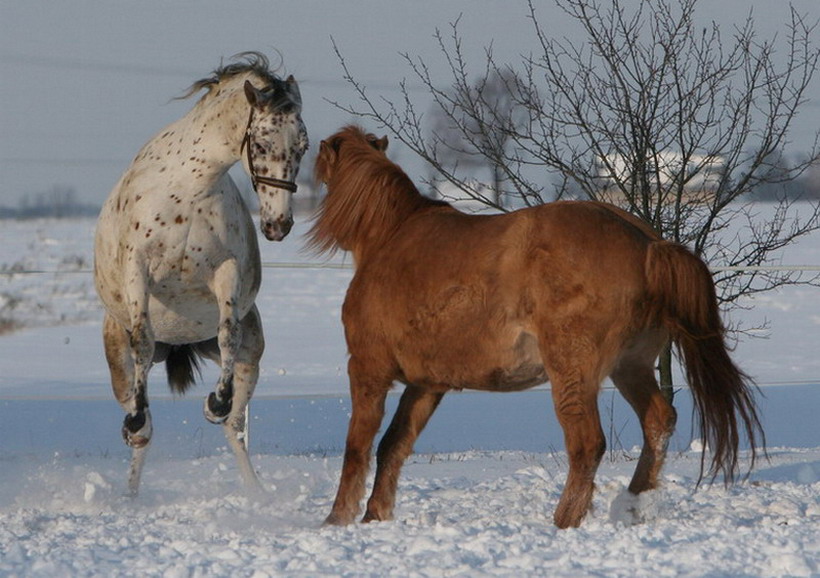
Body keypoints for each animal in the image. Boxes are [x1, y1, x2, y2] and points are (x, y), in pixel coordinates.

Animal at [93, 54, 310, 492]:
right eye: (261, 143)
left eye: (304, 145)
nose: (278, 225)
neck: (186, 190)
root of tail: (178, 344)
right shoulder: (138, 271)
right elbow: (142, 340)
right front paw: (135, 419)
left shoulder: (225, 273)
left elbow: (228, 335)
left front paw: (216, 403)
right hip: (118, 362)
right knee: (143, 434)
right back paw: (130, 488)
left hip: (251, 358)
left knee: (235, 429)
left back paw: (257, 494)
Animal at [308, 125, 764, 528]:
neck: (391, 238)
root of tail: (648, 245)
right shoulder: (427, 383)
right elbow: (393, 445)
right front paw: (374, 515)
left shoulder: (368, 369)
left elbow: (358, 446)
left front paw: (338, 519)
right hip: (630, 366)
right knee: (658, 420)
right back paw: (632, 506)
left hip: (573, 373)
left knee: (587, 443)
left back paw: (564, 521)